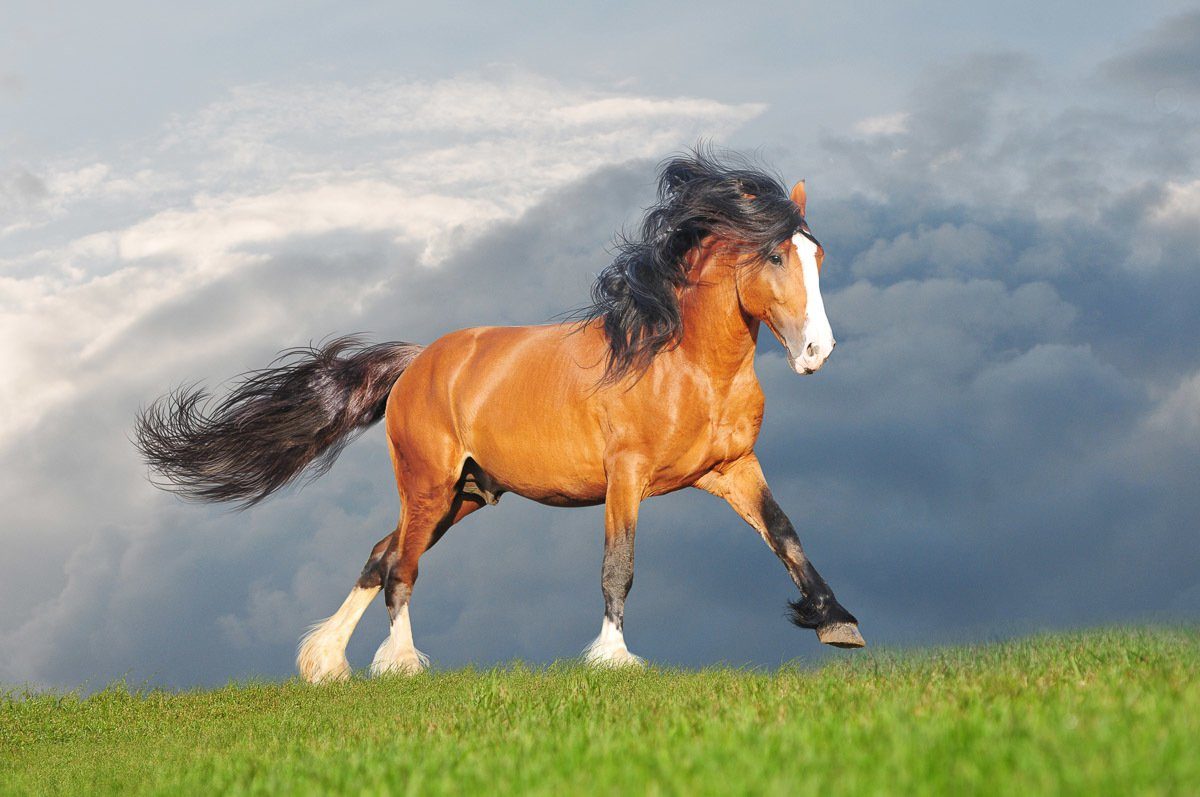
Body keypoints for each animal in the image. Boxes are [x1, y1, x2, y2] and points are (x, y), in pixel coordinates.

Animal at [138, 146, 864, 681]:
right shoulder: (625, 477)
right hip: (428, 485)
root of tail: (418, 362)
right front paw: (613, 658)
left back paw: (328, 662)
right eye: (775, 254)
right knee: (401, 567)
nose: (818, 351)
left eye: (818, 254)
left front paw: (837, 621)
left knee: (381, 552)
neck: (684, 363)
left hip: (464, 494)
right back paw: (400, 663)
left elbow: (786, 534)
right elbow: (619, 564)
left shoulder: (731, 468)